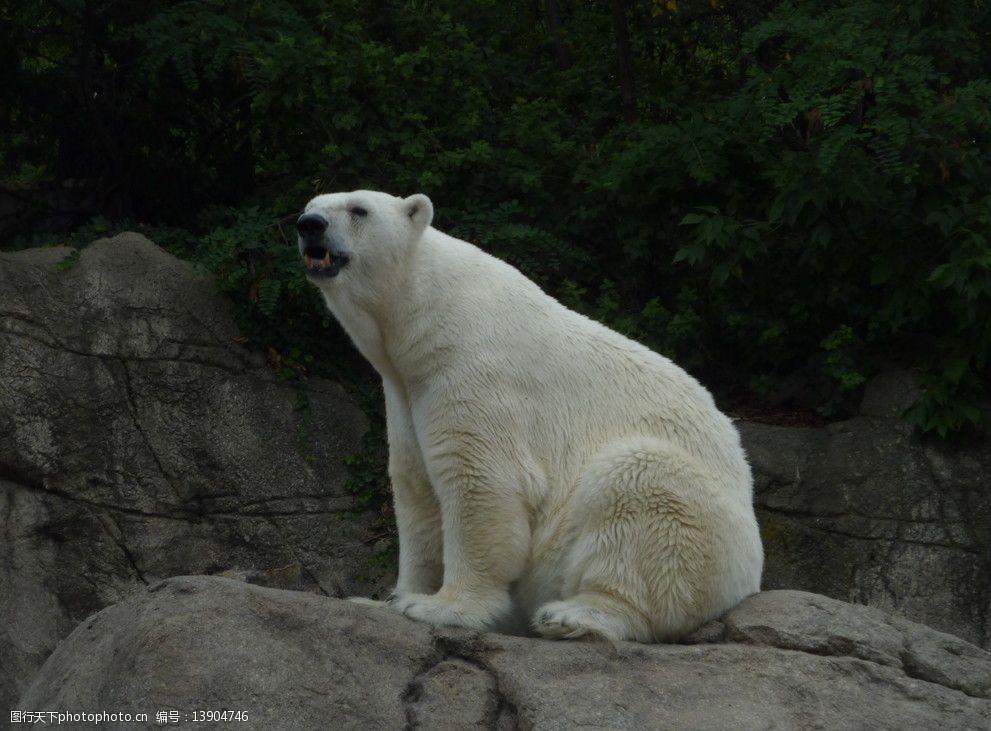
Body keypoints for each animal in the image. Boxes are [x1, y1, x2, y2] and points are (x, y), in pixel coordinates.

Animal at [298, 192, 764, 644]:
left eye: (359, 209)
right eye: (310, 206)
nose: (309, 225)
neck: (428, 313)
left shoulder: (475, 373)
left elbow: (481, 483)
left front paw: (442, 607)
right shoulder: (405, 393)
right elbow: (416, 491)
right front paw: (388, 599)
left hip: (697, 524)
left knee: (639, 483)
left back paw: (573, 614)